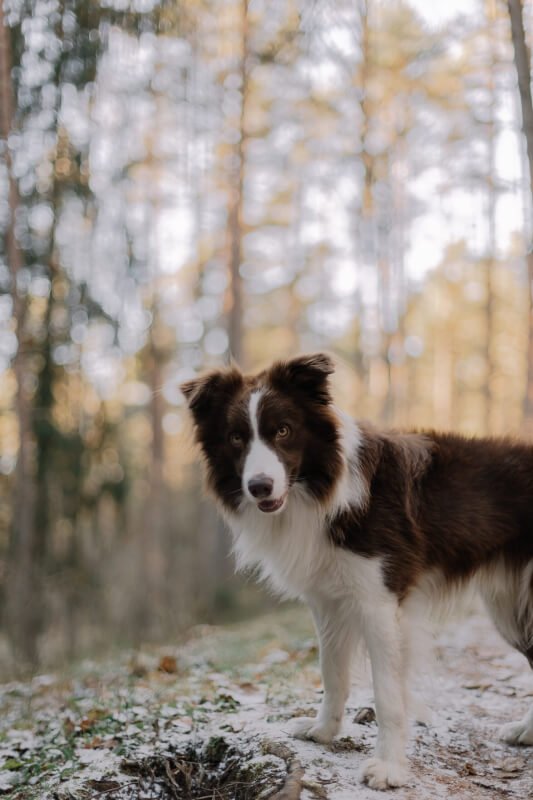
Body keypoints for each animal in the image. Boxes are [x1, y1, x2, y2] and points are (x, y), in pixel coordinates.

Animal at [181, 354, 532, 792]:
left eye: (283, 430)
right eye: (235, 438)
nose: (259, 487)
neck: (320, 489)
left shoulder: (380, 601)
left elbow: (387, 695)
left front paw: (388, 768)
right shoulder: (327, 601)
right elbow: (332, 672)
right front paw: (324, 732)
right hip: (509, 607)